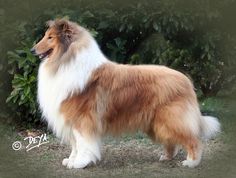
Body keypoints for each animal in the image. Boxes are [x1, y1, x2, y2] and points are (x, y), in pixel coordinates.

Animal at [30, 18, 220, 169]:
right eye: (45, 35)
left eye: (50, 37)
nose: (32, 50)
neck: (65, 61)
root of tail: (186, 80)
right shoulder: (70, 120)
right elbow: (75, 145)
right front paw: (71, 161)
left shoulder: (82, 120)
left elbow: (83, 144)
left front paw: (79, 163)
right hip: (157, 123)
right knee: (171, 141)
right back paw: (166, 157)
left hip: (172, 119)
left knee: (193, 140)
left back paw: (191, 162)